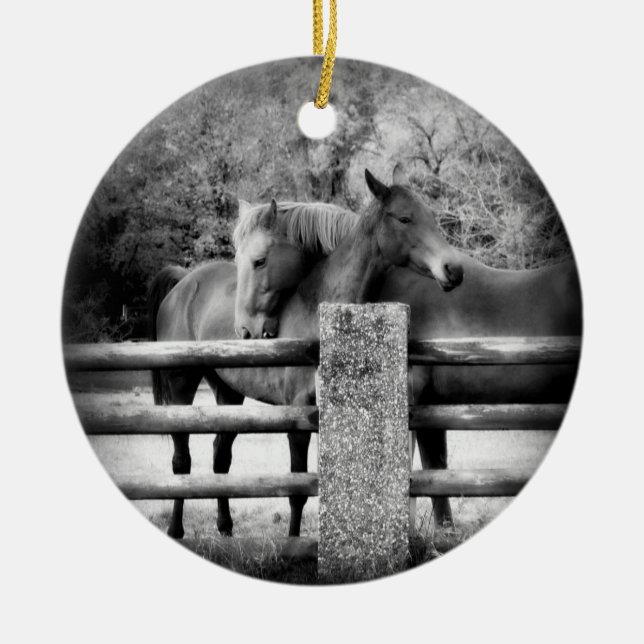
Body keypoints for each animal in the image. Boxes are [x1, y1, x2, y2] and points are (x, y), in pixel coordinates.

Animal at [149, 174, 463, 538]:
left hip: (228, 393)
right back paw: (176, 528)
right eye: (405, 218)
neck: (319, 311)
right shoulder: (297, 417)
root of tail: (182, 283)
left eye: (430, 216)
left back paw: (226, 528)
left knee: (220, 457)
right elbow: (297, 488)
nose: (453, 269)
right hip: (181, 388)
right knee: (181, 461)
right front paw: (293, 540)